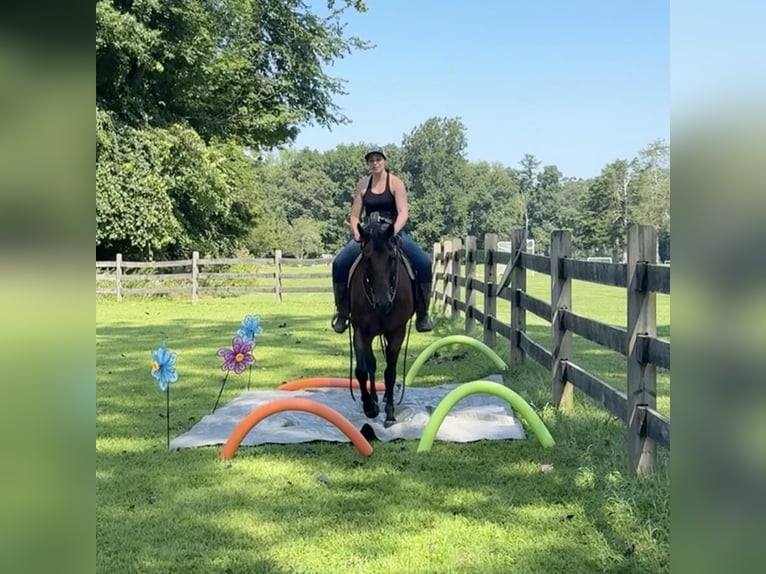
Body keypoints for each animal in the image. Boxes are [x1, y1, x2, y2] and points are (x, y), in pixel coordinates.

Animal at [352, 216, 416, 428]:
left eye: (392, 258)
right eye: (366, 258)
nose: (382, 303)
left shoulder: (397, 332)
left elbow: (390, 372)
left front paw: (389, 413)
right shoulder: (360, 331)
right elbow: (362, 369)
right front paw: (370, 407)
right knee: (371, 363)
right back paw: (373, 399)